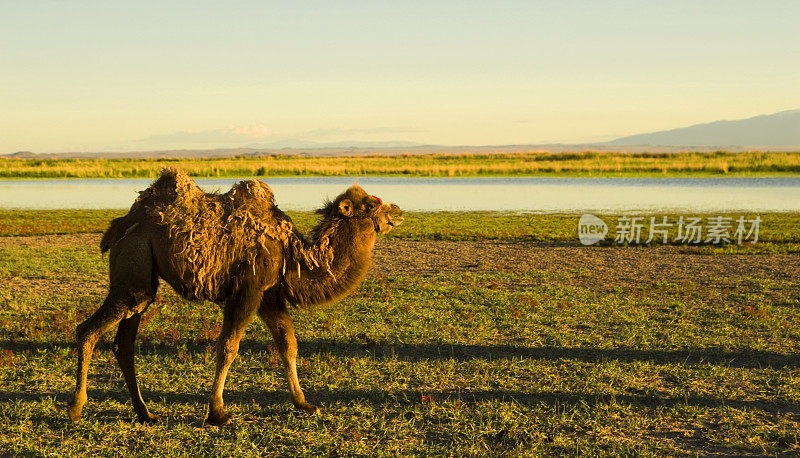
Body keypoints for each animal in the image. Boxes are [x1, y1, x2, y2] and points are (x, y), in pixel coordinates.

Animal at [67, 169, 406, 426]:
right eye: (372, 203)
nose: (399, 210)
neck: (294, 255)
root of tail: (120, 225)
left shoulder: (269, 295)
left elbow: (288, 344)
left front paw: (304, 404)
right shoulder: (248, 290)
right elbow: (229, 347)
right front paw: (218, 413)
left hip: (142, 280)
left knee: (124, 341)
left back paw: (145, 413)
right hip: (134, 260)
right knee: (88, 330)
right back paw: (76, 407)